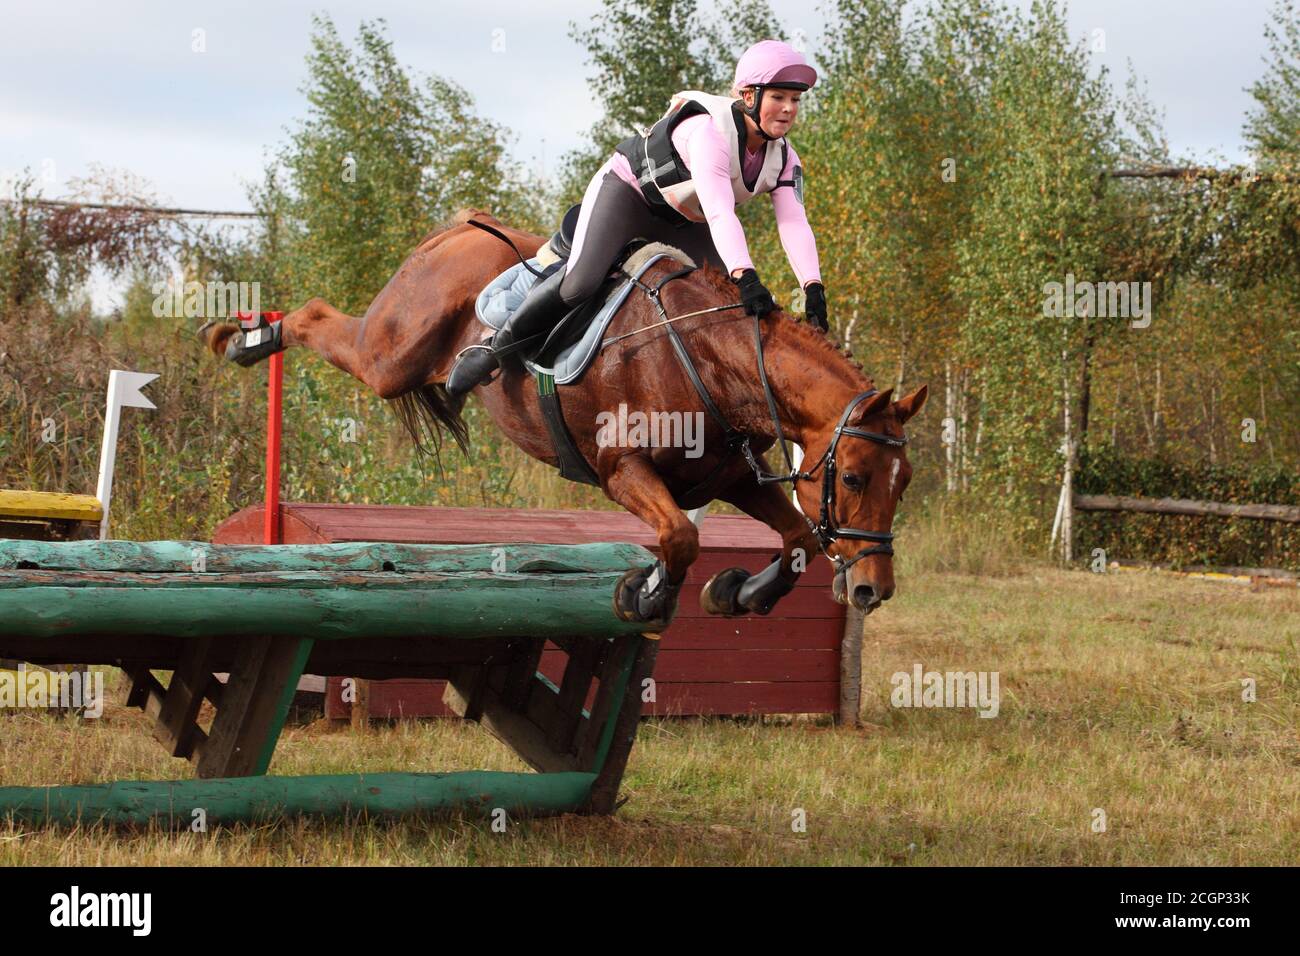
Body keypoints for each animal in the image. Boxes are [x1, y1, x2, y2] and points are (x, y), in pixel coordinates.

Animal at [199, 208, 927, 625]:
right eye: (854, 478)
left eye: (904, 485)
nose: (874, 590)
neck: (711, 358)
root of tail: (459, 226)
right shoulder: (621, 469)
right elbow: (679, 538)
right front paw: (646, 596)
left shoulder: (728, 478)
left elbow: (798, 539)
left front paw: (736, 594)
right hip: (391, 357)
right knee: (320, 318)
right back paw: (246, 338)